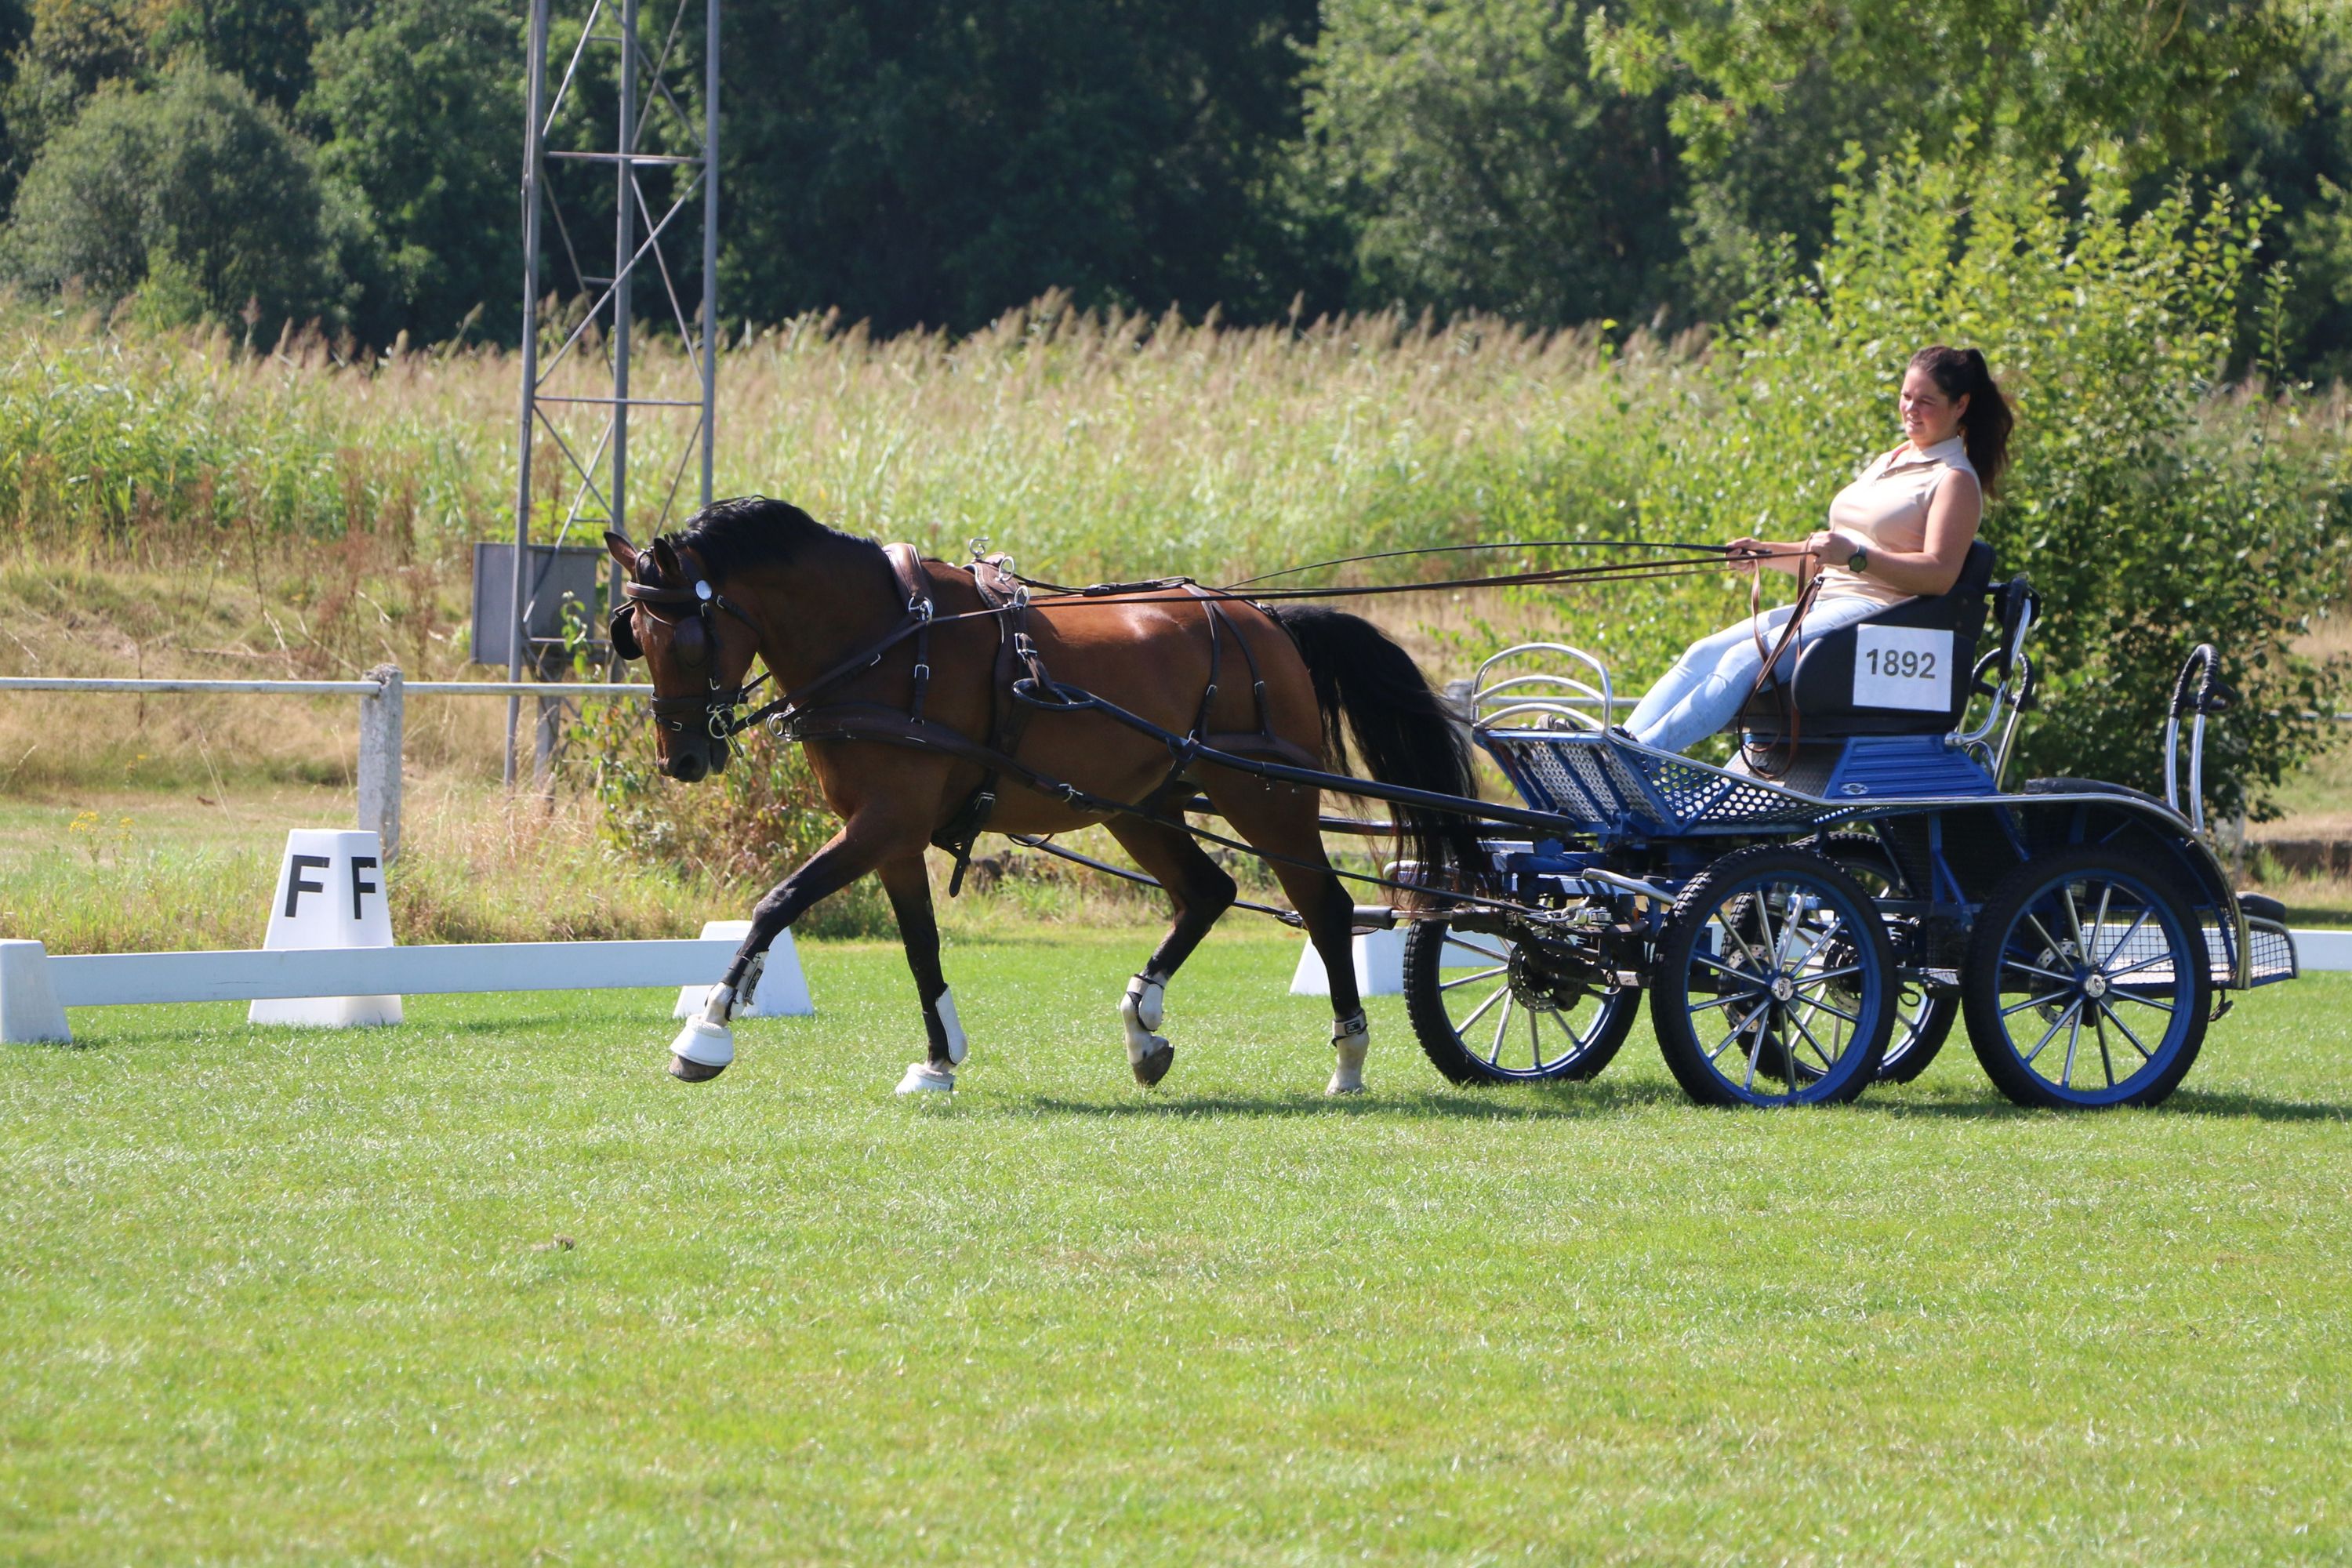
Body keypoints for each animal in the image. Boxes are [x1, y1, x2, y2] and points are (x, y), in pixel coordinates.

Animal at [607, 496, 1482, 1095]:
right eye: (637, 639)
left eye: (688, 640)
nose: (683, 758)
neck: (886, 643)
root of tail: (1267, 621)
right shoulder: (891, 832)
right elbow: (920, 945)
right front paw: (937, 1062)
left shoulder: (884, 820)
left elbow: (776, 902)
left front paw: (705, 1033)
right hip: (1141, 804)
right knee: (1209, 891)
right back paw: (1143, 1029)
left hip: (1265, 796)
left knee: (1325, 907)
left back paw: (1349, 1059)